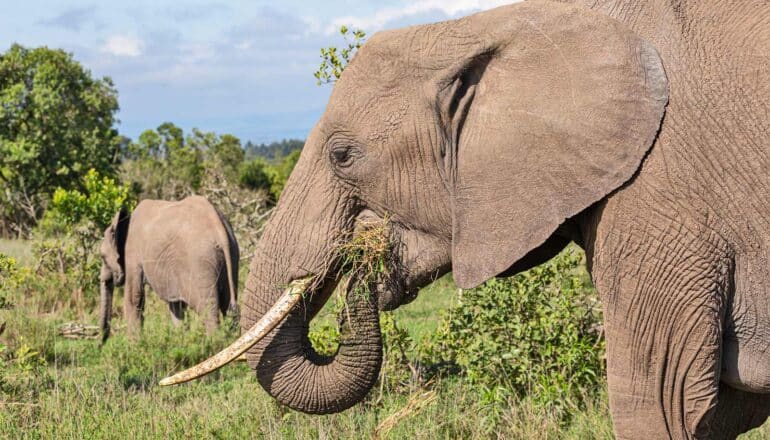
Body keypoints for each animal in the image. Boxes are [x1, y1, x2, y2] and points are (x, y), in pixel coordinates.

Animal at [98, 194, 237, 342]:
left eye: (102, 257)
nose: (101, 343)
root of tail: (218, 227)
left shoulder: (132, 254)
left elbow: (134, 298)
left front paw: (134, 345)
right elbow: (176, 306)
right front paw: (181, 340)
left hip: (201, 262)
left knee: (208, 311)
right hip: (231, 254)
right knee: (229, 308)